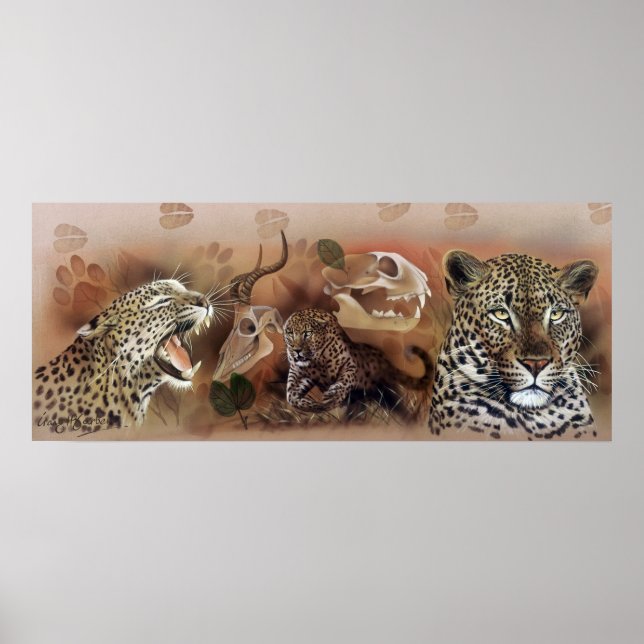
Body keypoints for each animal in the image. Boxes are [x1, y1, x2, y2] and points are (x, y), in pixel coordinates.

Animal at [283, 308, 432, 413]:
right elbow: (290, 395)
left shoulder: (348, 364)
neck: (316, 361)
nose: (296, 350)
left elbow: (345, 379)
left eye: (307, 333)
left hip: (387, 394)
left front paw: (333, 397)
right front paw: (312, 405)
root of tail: (385, 362)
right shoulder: (297, 373)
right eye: (290, 333)